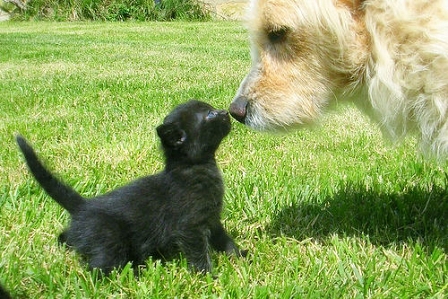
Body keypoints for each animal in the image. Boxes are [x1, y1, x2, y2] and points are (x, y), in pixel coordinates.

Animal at [17, 100, 247, 274]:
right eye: (209, 115)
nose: (225, 112)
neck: (195, 168)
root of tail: (83, 205)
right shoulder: (190, 226)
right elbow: (198, 252)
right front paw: (206, 276)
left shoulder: (211, 219)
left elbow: (224, 240)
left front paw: (239, 255)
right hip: (109, 241)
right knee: (98, 268)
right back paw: (134, 272)